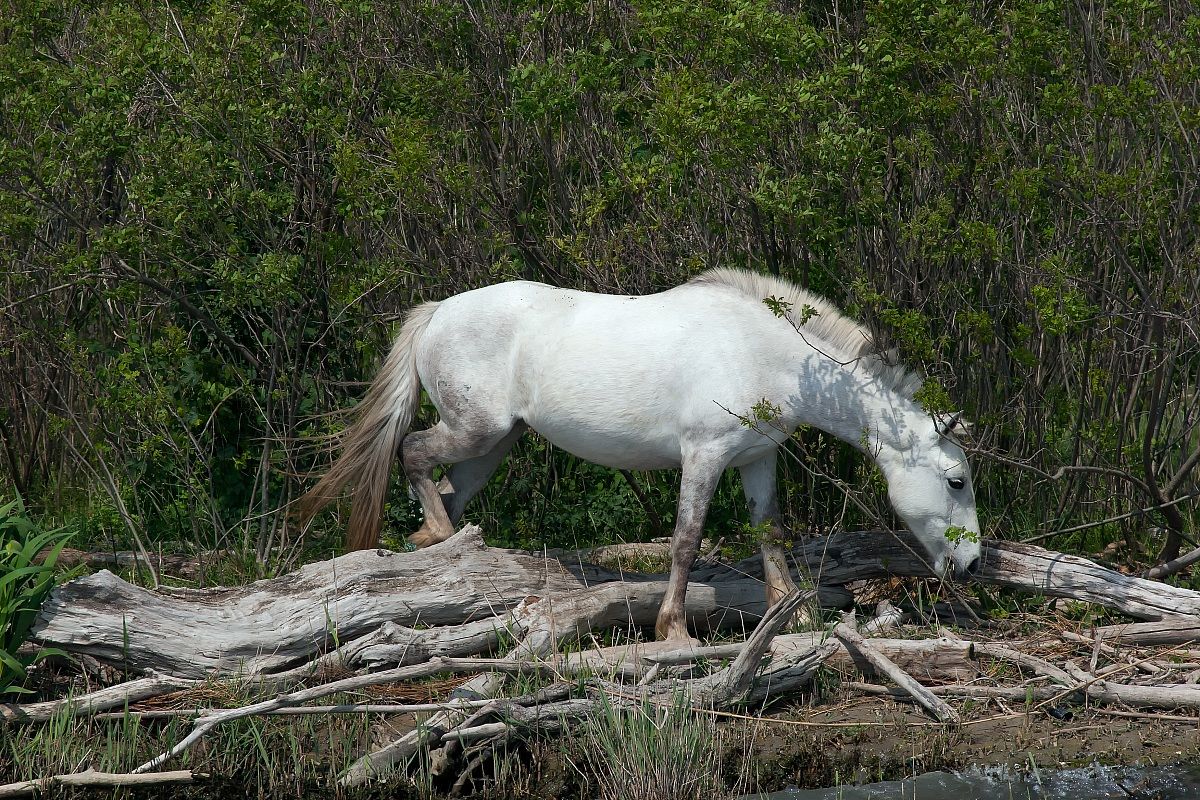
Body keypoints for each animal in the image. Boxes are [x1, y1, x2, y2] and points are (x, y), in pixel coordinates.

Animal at [296, 268, 981, 641]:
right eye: (956, 480)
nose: (973, 565)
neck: (769, 356)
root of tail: (439, 312)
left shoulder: (756, 459)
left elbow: (770, 532)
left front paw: (794, 613)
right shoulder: (704, 456)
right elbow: (686, 540)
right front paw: (672, 628)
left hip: (494, 444)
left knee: (445, 488)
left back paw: (440, 548)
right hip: (477, 430)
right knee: (413, 453)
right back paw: (436, 536)